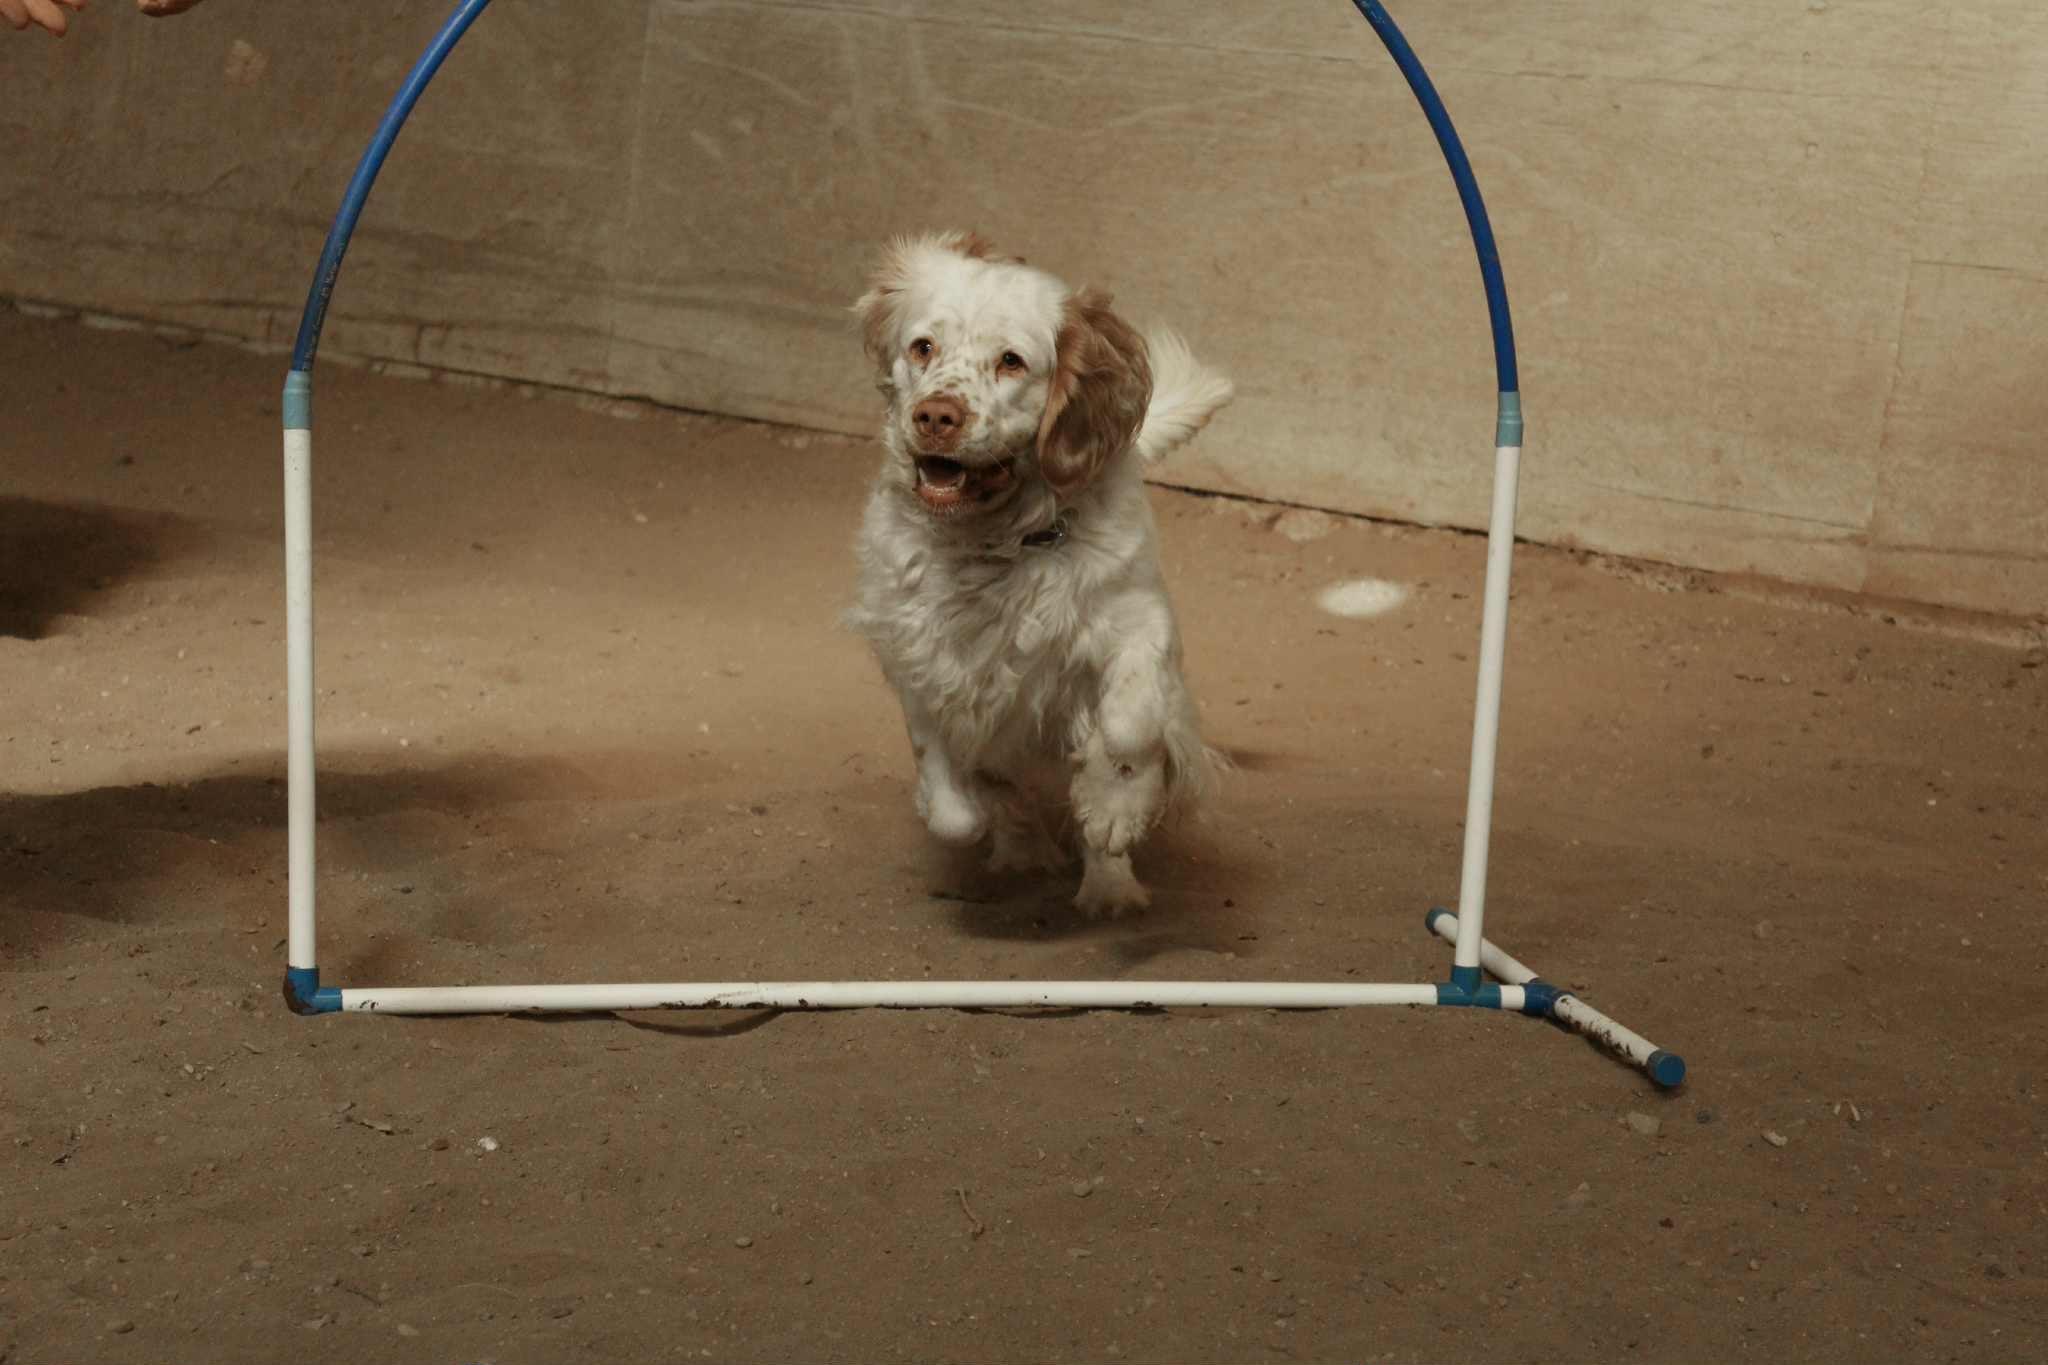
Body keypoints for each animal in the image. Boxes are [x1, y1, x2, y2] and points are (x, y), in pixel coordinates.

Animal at [844, 231, 1234, 915]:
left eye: (1011, 362)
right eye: (923, 347)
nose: (936, 416)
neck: (996, 542)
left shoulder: (1141, 620)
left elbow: (1130, 726)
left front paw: (1112, 808)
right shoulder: (919, 665)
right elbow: (957, 806)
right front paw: (1005, 825)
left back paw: (1111, 888)